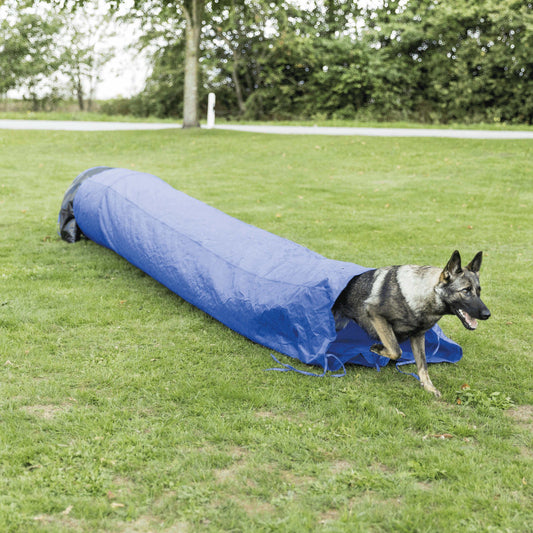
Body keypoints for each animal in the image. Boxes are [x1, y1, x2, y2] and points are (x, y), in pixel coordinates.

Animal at [332, 250, 490, 394]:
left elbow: (423, 365)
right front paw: (377, 349)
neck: (423, 293)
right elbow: (396, 350)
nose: (487, 314)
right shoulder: (376, 315)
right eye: (466, 291)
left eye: (479, 291)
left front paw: (428, 387)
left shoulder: (418, 336)